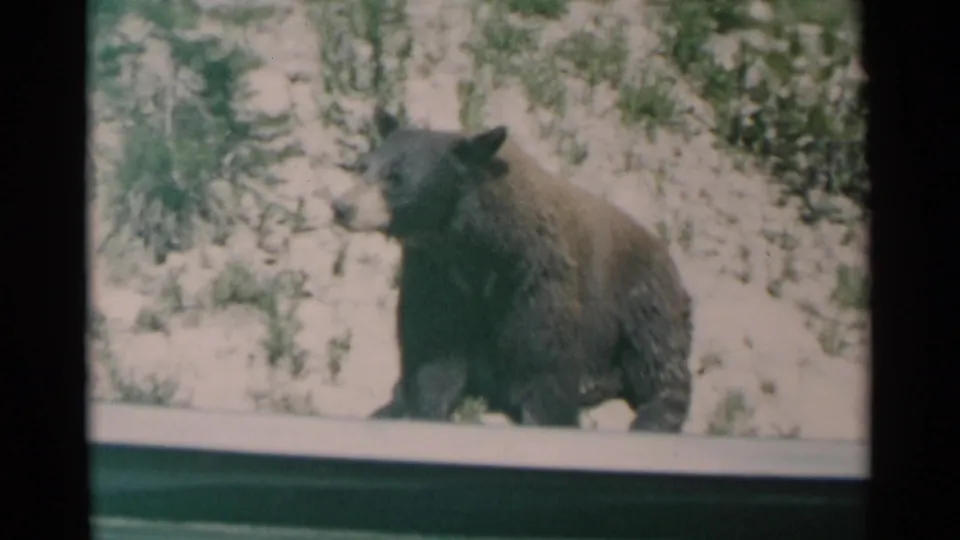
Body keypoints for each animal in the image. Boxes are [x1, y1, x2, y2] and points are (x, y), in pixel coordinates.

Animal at [330, 107, 694, 432]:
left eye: (396, 177)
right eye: (363, 167)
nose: (342, 207)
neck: (479, 250)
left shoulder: (536, 282)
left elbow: (544, 369)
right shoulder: (437, 277)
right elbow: (433, 355)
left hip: (641, 290)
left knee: (657, 353)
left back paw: (653, 412)